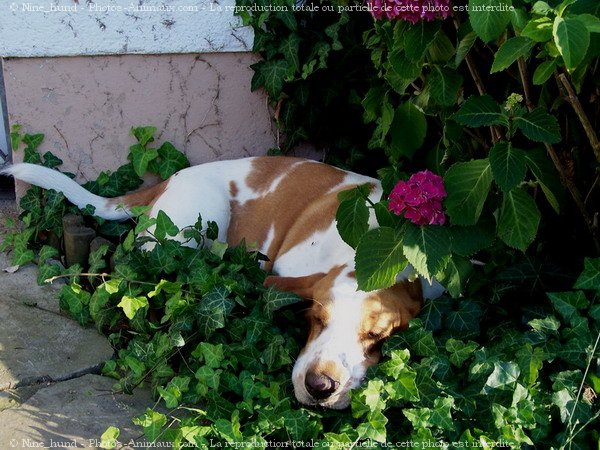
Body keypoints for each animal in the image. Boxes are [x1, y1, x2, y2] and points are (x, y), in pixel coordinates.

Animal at [1, 157, 446, 408]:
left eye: (378, 337)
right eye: (316, 318)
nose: (319, 386)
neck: (378, 254)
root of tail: (171, 179)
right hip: (192, 227)